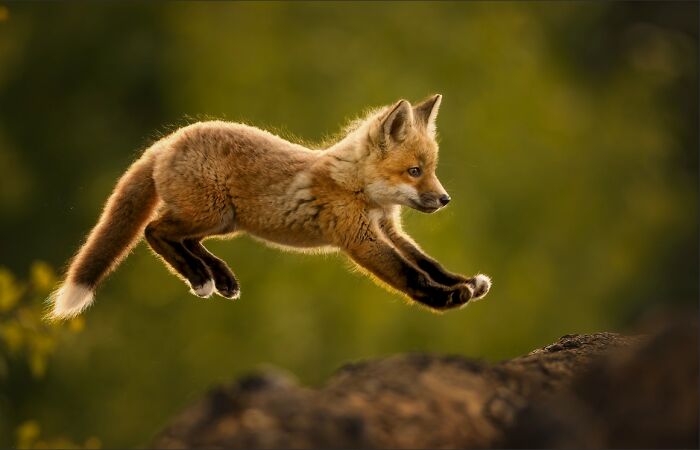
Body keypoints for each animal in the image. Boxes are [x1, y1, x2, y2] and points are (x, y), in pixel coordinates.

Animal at [48, 94, 491, 319]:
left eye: (431, 170)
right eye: (415, 171)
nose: (445, 199)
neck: (360, 189)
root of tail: (167, 141)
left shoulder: (389, 229)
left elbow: (428, 263)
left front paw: (465, 282)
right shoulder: (361, 238)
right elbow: (408, 275)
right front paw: (447, 300)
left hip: (222, 222)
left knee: (181, 238)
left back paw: (218, 277)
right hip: (211, 214)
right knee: (153, 231)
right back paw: (202, 277)